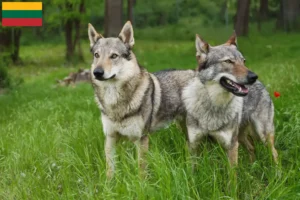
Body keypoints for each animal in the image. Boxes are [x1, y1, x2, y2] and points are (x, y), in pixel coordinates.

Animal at [87, 21, 195, 178]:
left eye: (114, 56)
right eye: (97, 55)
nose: (97, 72)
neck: (114, 101)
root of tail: (196, 72)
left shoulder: (141, 138)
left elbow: (141, 168)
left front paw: (141, 184)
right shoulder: (110, 137)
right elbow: (110, 169)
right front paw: (108, 184)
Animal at [182, 33, 258, 166]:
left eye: (243, 61)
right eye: (228, 61)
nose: (254, 77)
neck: (213, 106)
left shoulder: (231, 146)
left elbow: (232, 172)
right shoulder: (193, 145)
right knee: (251, 147)